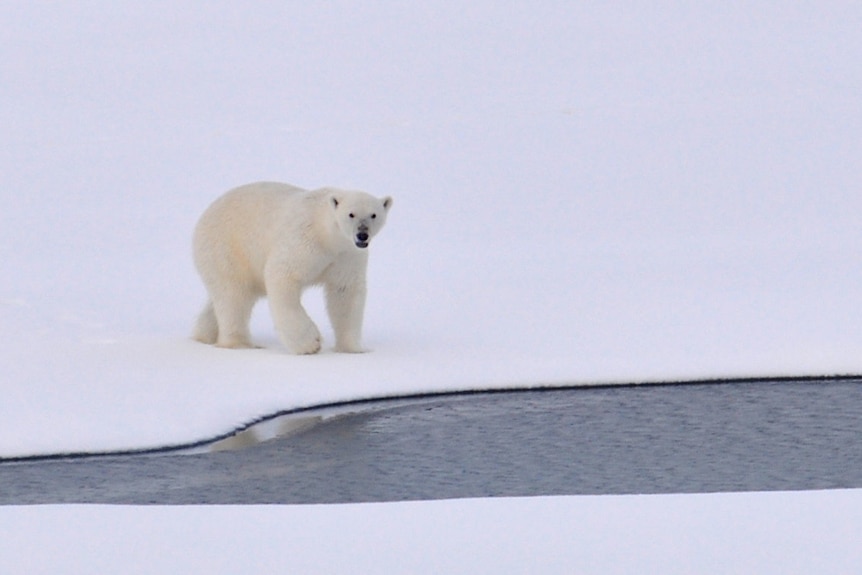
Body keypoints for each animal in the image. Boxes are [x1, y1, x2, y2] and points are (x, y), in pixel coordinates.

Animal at [193, 183, 394, 356]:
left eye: (374, 214)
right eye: (351, 214)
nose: (362, 234)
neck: (327, 235)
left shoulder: (347, 255)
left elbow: (345, 292)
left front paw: (353, 348)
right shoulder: (304, 240)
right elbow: (282, 275)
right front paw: (309, 344)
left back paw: (204, 335)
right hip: (227, 249)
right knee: (233, 296)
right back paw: (240, 344)